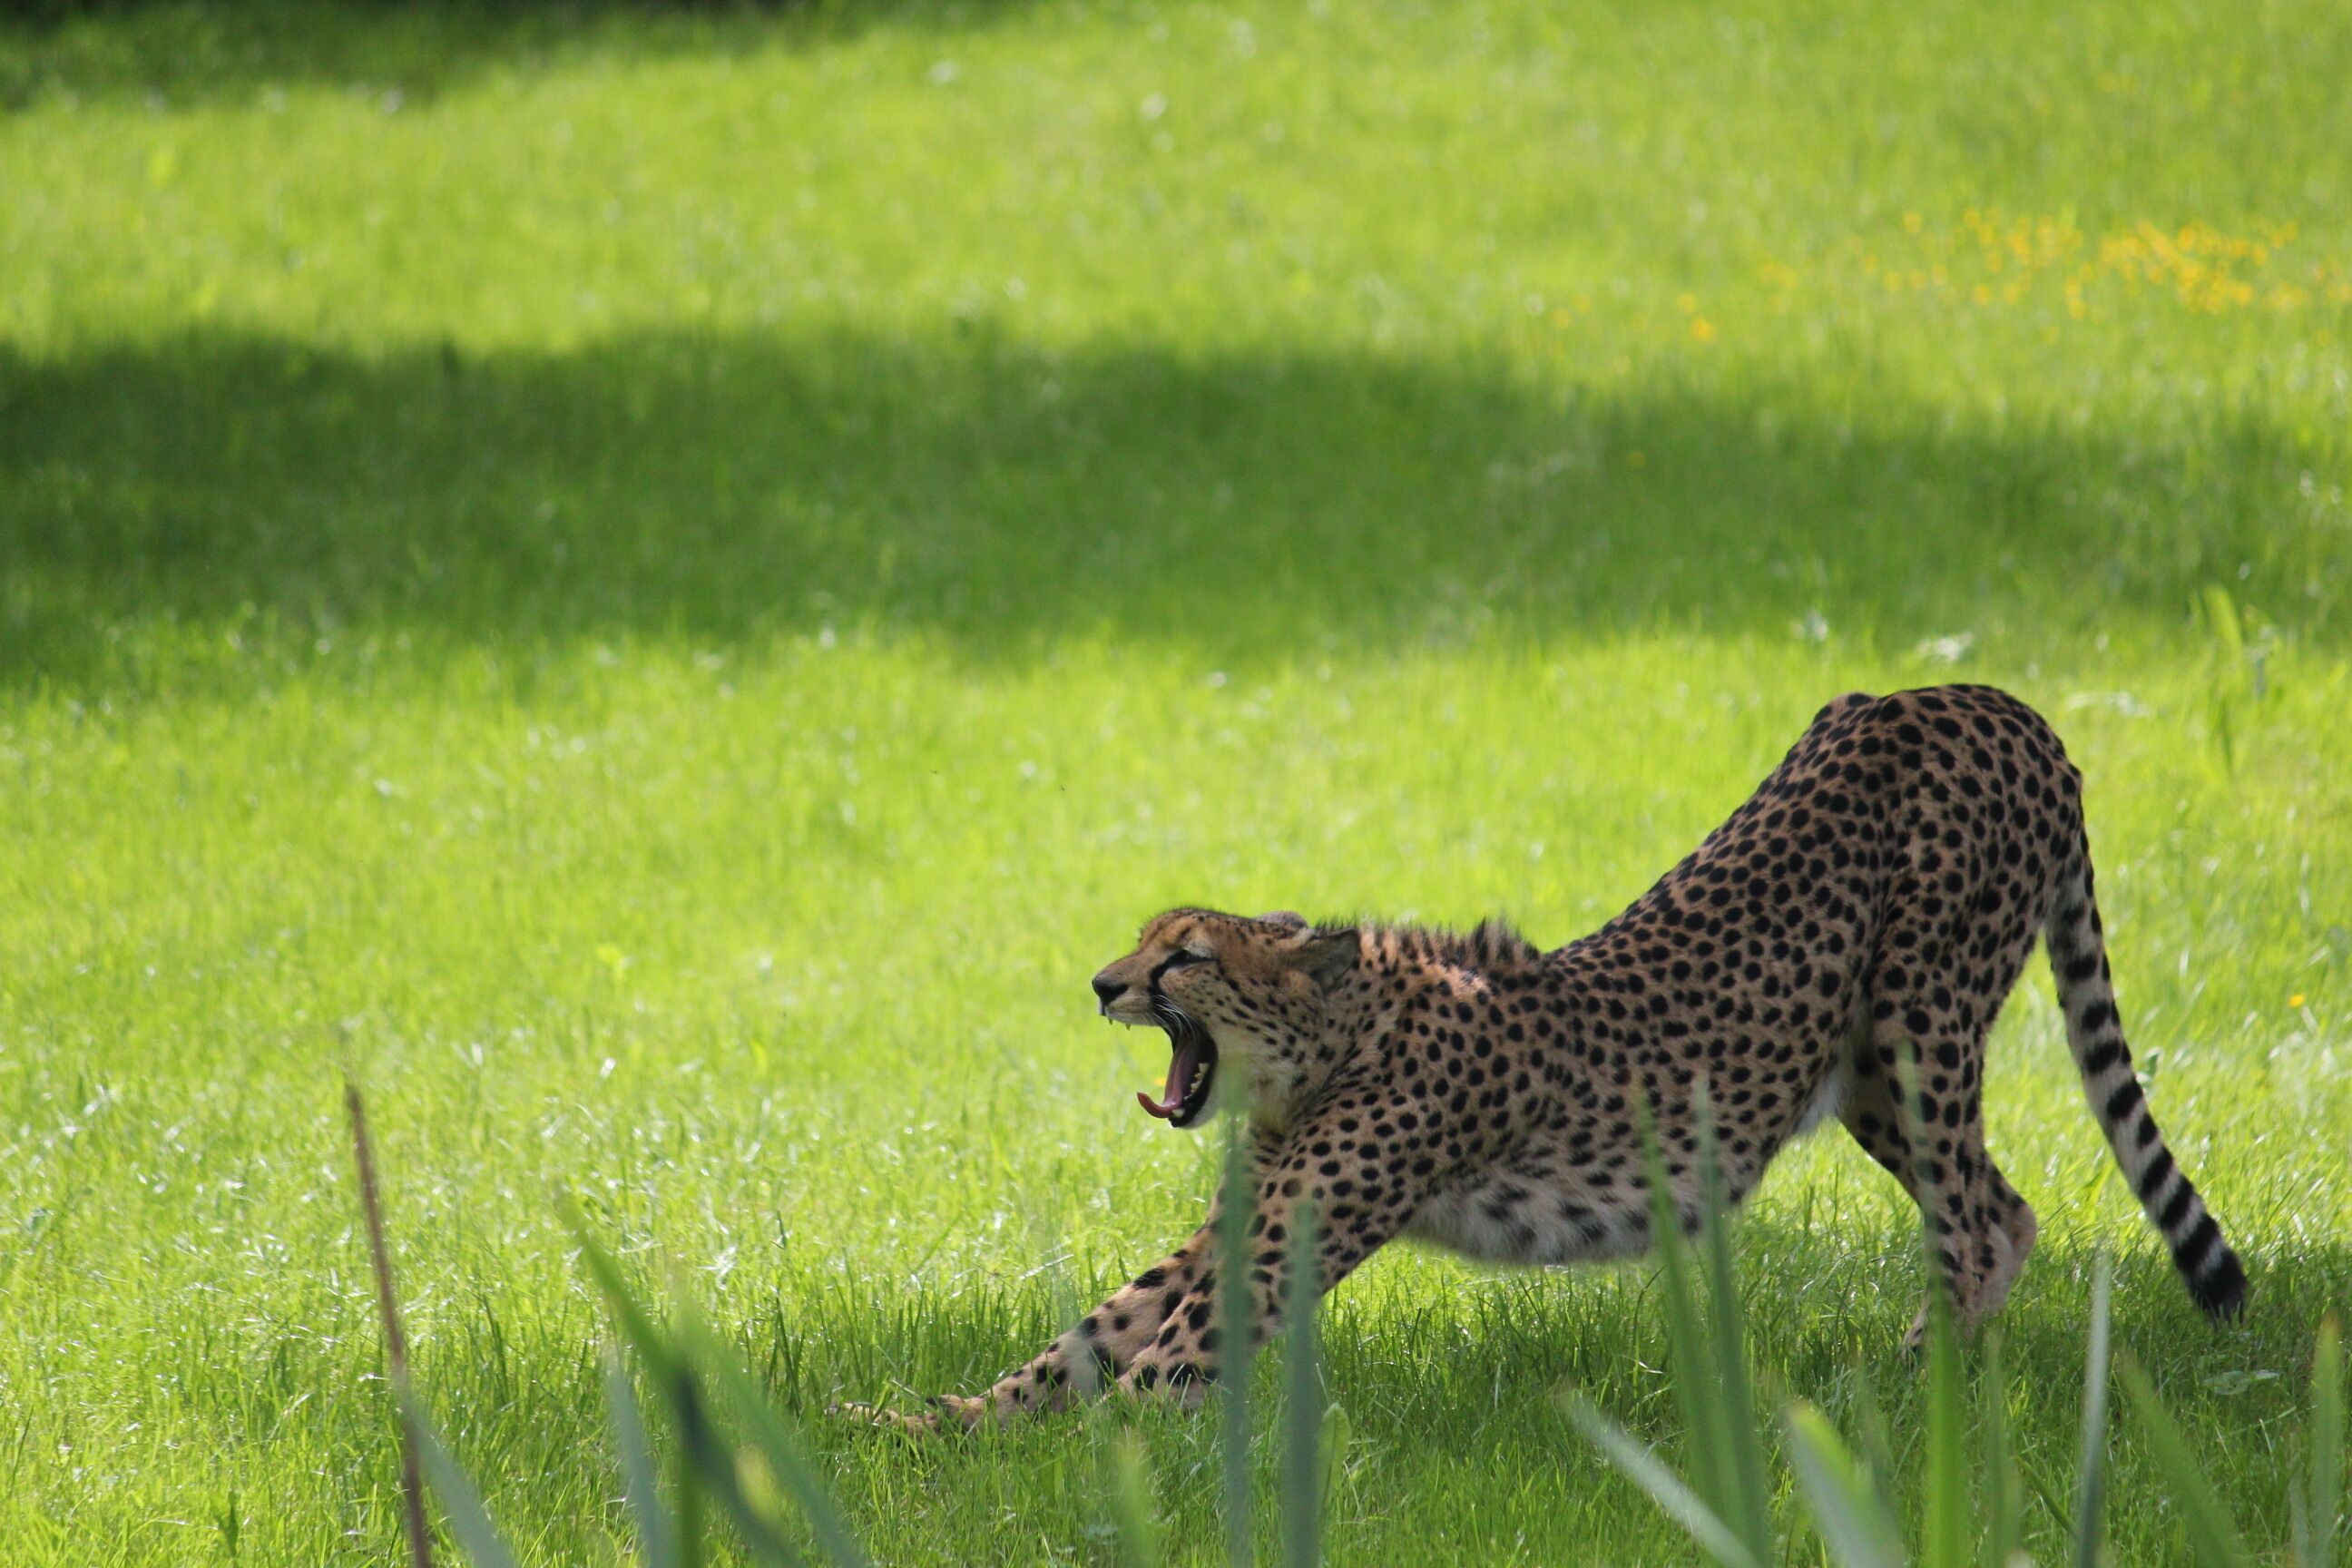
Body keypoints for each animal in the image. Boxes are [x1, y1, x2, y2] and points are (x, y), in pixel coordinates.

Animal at [842, 684, 2245, 1432]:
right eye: (1142, 941)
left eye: (1181, 957)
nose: (1103, 984)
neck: (1343, 1042)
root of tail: (1990, 700)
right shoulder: (1234, 1231)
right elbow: (1078, 1343)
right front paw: (910, 1424)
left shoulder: (1272, 1261)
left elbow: (1141, 1381)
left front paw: (1015, 1459)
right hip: (1862, 1075)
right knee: (2006, 1210)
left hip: (1919, 1029)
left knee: (1970, 1217)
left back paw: (1907, 1399)